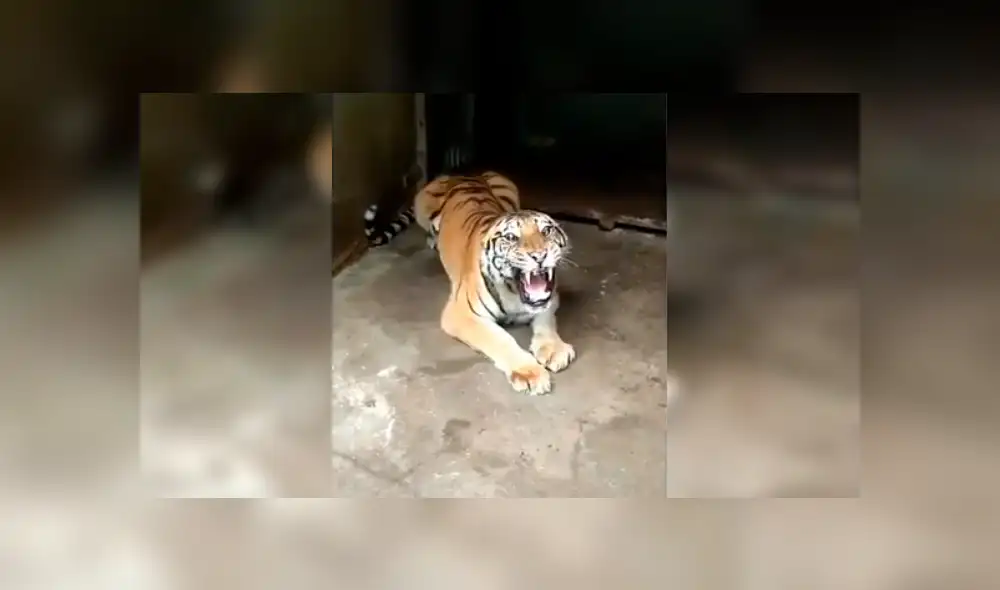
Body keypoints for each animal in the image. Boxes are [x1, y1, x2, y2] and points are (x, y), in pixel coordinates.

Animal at [363, 171, 575, 395]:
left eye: (547, 231)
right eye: (511, 237)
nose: (540, 255)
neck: (513, 291)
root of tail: (461, 174)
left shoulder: (550, 299)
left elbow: (546, 322)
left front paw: (554, 349)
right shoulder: (461, 314)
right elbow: (500, 339)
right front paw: (529, 373)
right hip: (423, 206)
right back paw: (433, 240)